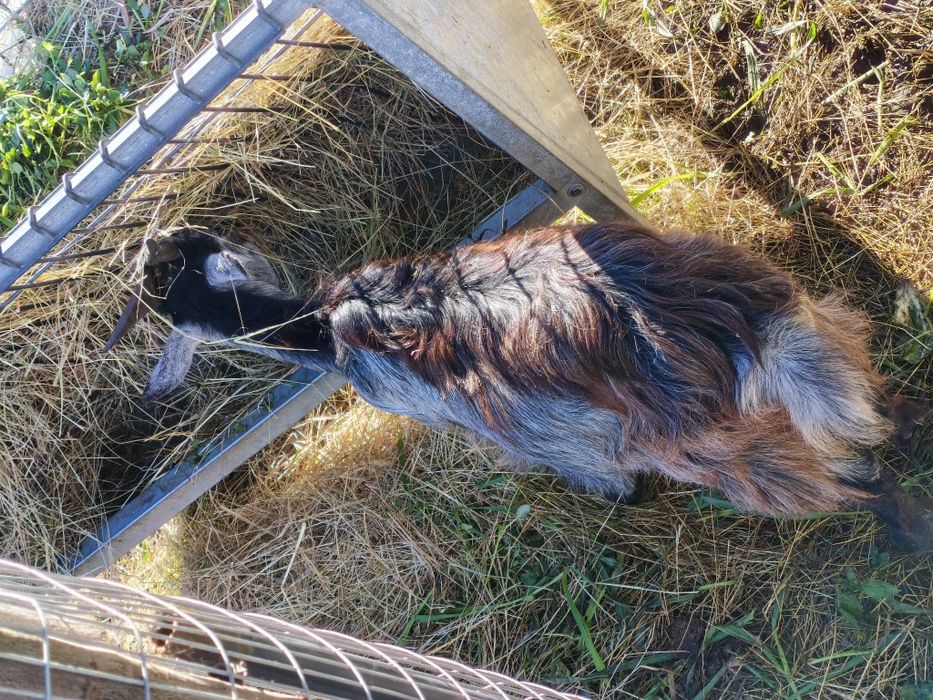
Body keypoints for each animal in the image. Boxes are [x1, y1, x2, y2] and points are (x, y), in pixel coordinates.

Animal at [116, 225, 932, 551]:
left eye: (159, 298)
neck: (321, 327)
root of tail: (738, 328)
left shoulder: (531, 427)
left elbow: (600, 477)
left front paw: (618, 499)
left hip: (708, 441)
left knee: (845, 478)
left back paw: (904, 531)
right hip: (811, 324)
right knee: (872, 399)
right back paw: (913, 421)